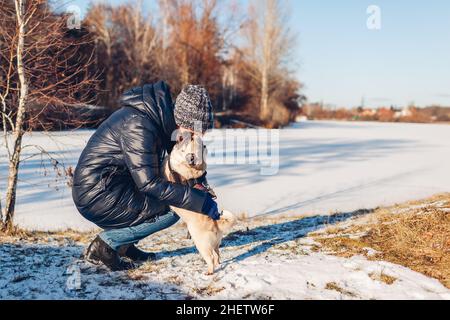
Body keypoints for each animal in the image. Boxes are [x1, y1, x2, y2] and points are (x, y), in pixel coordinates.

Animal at [163, 131, 237, 274]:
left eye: (191, 139)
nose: (190, 132)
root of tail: (216, 223)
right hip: (215, 244)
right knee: (217, 254)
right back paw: (218, 264)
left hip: (202, 244)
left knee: (211, 258)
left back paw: (209, 271)